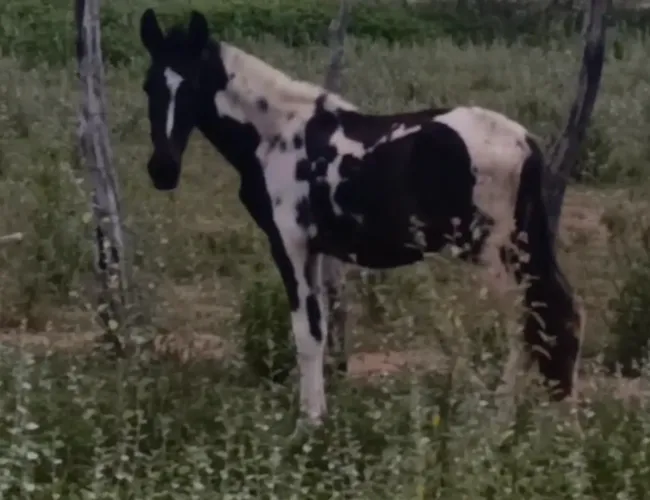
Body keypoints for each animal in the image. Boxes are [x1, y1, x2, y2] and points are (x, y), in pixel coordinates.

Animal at [138, 8, 585, 427]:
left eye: (194, 84)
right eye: (149, 86)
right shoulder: (315, 250)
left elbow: (305, 333)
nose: (162, 171)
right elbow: (319, 330)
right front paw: (318, 416)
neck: (278, 137)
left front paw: (308, 424)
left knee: (527, 321)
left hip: (496, 254)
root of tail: (525, 142)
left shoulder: (289, 245)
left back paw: (500, 422)